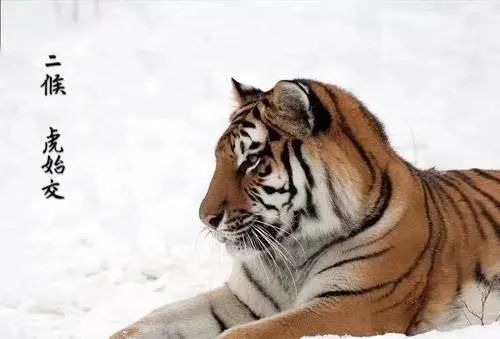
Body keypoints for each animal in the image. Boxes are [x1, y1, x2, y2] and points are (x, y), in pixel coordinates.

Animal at [110, 78, 500, 338]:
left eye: (251, 161)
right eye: (219, 159)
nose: (205, 218)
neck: (293, 251)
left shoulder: (350, 304)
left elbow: (241, 334)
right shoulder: (241, 300)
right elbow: (152, 320)